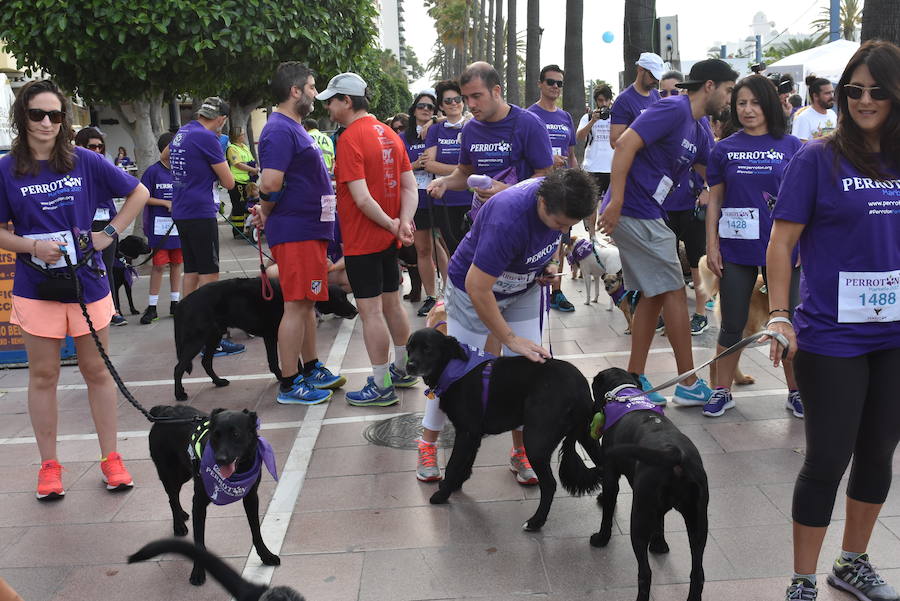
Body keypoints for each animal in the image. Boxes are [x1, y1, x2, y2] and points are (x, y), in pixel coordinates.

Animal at [148, 404, 282, 584]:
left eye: (235, 434)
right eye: (216, 435)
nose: (220, 459)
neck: (236, 474)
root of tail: (164, 411)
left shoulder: (251, 497)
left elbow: (256, 531)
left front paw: (266, 555)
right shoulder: (198, 502)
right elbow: (199, 540)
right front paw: (198, 572)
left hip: (184, 472)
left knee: (173, 497)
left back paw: (182, 514)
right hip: (172, 474)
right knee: (172, 498)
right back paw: (179, 525)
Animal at [174, 278, 356, 400]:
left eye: (345, 296)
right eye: (340, 298)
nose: (355, 311)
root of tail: (182, 303)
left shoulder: (271, 336)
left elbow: (279, 361)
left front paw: (288, 377)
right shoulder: (278, 334)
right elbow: (286, 361)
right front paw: (291, 380)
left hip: (214, 336)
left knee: (206, 362)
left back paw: (218, 382)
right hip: (196, 340)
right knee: (178, 368)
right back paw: (179, 394)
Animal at [408, 328, 604, 528]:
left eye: (427, 348)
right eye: (409, 348)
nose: (409, 366)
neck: (453, 367)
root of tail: (580, 388)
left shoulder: (466, 433)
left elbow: (453, 465)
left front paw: (442, 494)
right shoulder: (473, 434)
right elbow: (466, 462)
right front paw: (455, 484)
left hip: (535, 441)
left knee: (550, 484)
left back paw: (536, 522)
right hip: (587, 437)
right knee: (605, 468)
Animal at [592, 366, 712, 600]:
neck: (625, 394)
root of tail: (675, 454)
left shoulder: (611, 477)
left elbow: (608, 511)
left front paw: (602, 538)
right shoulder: (657, 508)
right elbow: (660, 522)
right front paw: (659, 544)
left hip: (638, 516)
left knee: (645, 572)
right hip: (698, 521)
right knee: (698, 572)